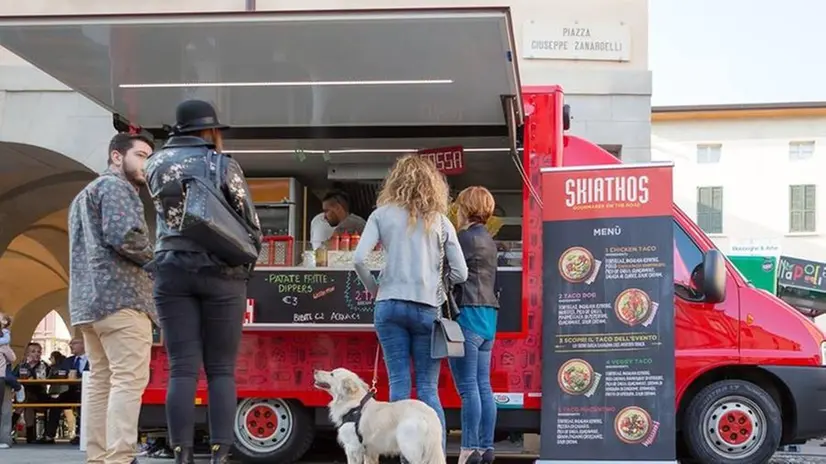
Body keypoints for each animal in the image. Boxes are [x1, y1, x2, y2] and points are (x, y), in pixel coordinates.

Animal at [314, 366, 444, 464]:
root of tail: (429, 413)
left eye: (332, 374)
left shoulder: (352, 447)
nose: (315, 370)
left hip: (410, 447)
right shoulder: (369, 451)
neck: (353, 404)